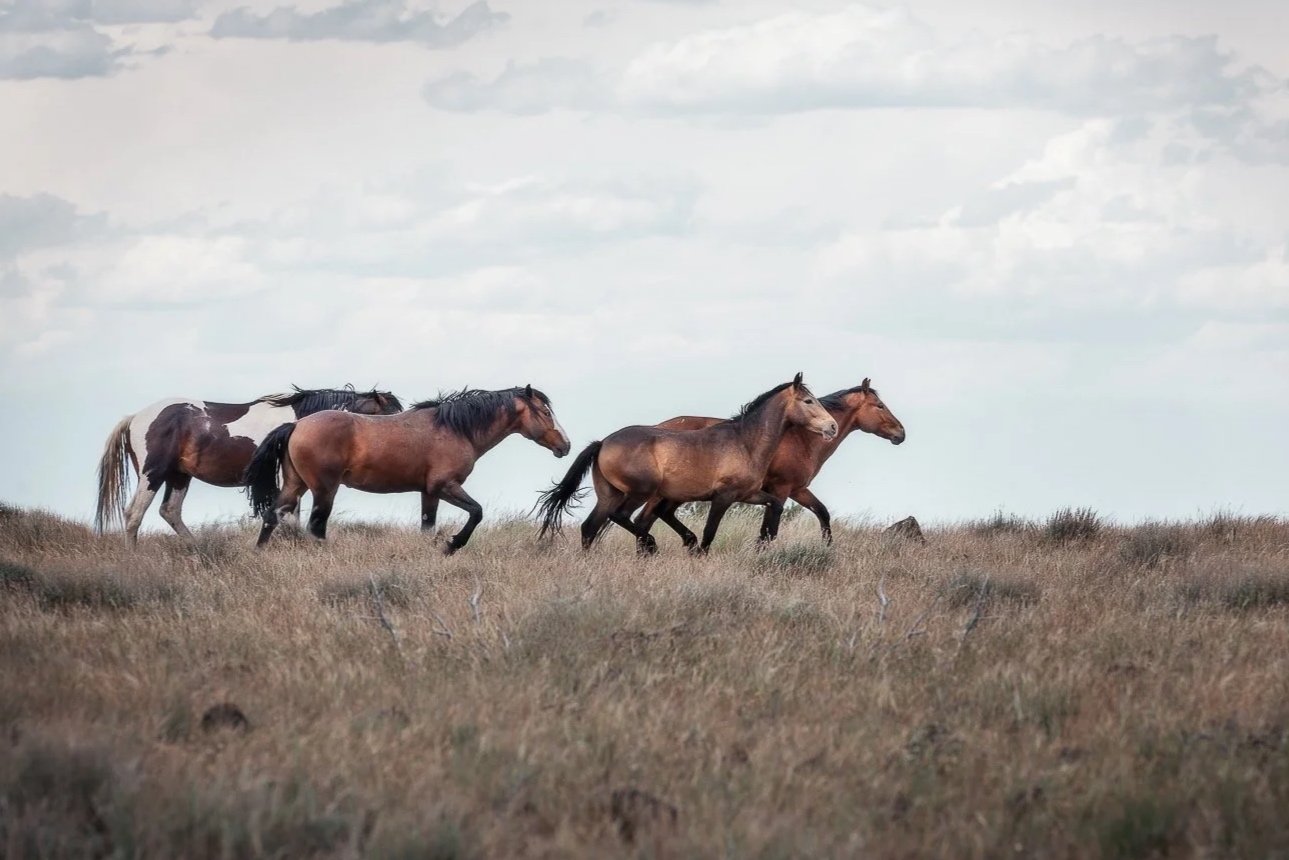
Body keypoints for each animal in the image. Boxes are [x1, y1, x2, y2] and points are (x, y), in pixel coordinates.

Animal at [95, 386, 402, 545]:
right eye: (389, 414)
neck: (301, 422)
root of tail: (135, 417)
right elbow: (288, 516)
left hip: (179, 476)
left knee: (169, 511)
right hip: (152, 474)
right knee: (134, 514)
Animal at [244, 385, 571, 554]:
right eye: (545, 412)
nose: (565, 446)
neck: (455, 429)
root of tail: (296, 425)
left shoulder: (430, 492)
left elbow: (427, 527)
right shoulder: (445, 486)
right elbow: (476, 512)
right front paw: (452, 544)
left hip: (294, 485)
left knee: (272, 516)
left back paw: (260, 555)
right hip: (324, 489)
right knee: (316, 527)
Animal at [535, 373, 838, 555]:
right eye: (808, 401)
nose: (832, 426)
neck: (745, 442)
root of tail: (603, 443)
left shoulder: (750, 494)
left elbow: (775, 505)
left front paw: (766, 541)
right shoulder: (723, 496)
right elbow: (709, 532)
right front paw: (699, 554)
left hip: (610, 494)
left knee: (590, 528)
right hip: (640, 492)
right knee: (622, 517)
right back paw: (651, 546)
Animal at [640, 378, 905, 547]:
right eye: (880, 405)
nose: (900, 434)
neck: (802, 439)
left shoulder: (797, 490)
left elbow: (822, 513)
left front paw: (828, 548)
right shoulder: (780, 489)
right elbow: (769, 530)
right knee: (645, 519)